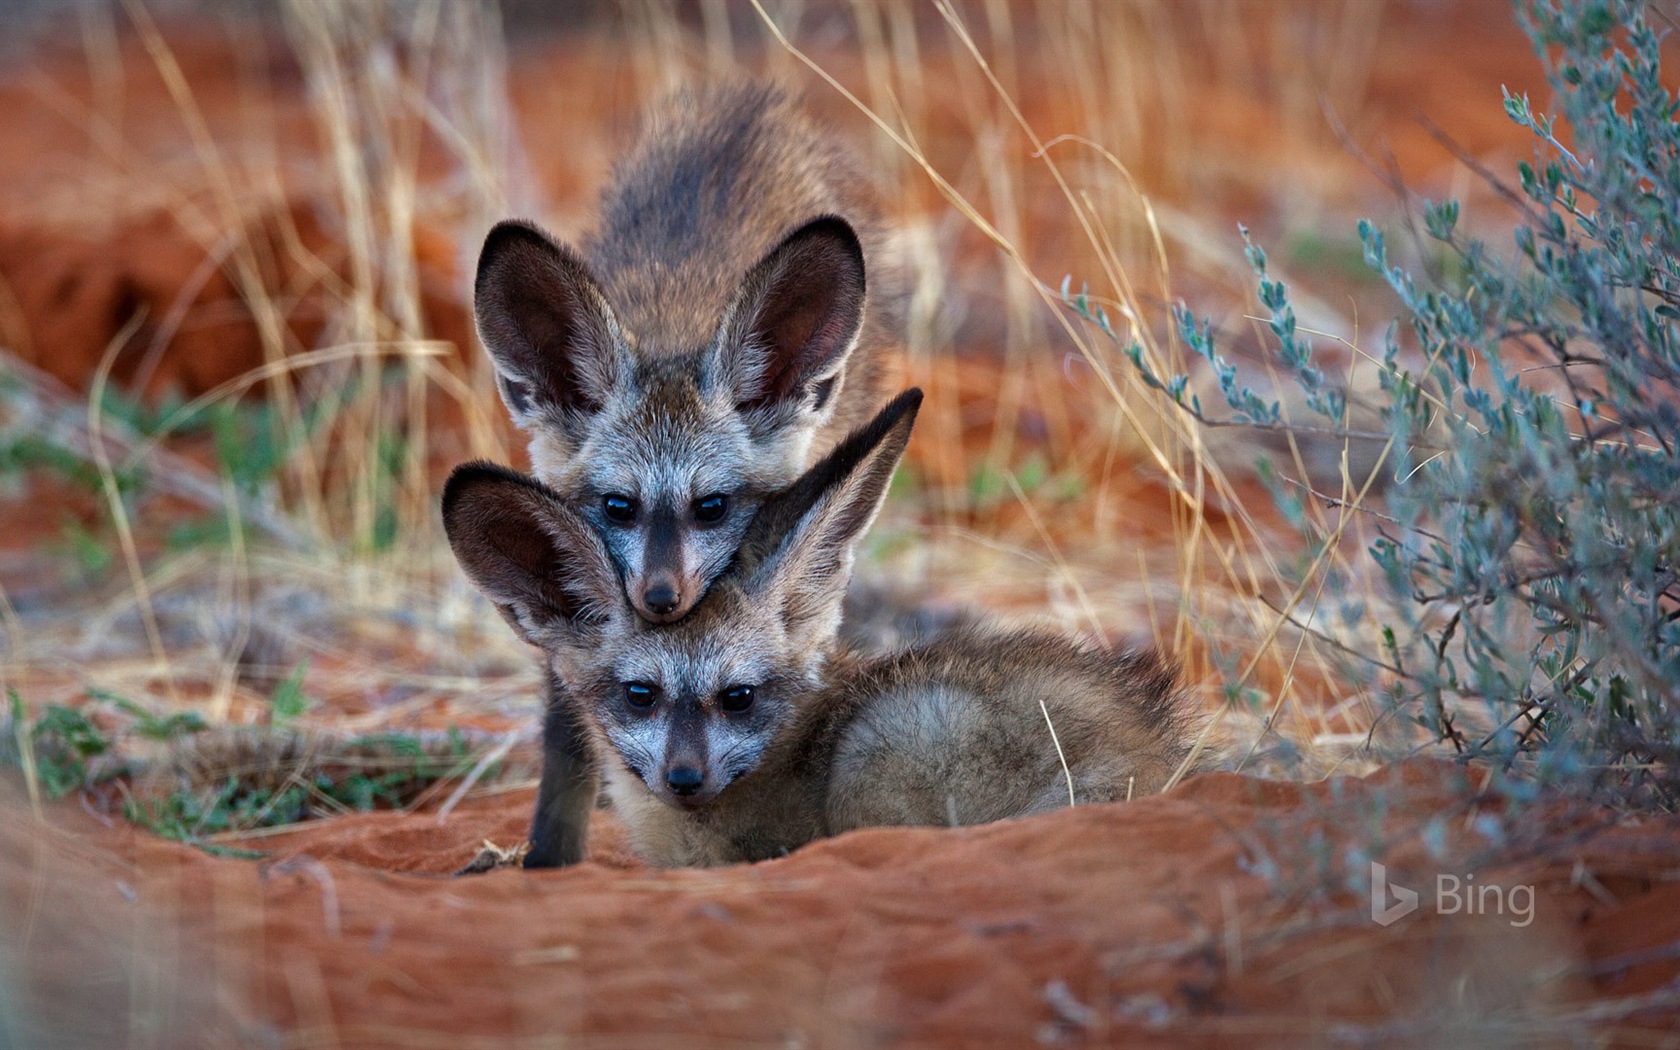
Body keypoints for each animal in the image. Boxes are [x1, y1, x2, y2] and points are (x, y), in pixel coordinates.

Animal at [467, 86, 900, 866]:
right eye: (618, 505)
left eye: (713, 506)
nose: (661, 599)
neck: (675, 329)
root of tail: (746, 112)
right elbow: (568, 732)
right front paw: (550, 858)